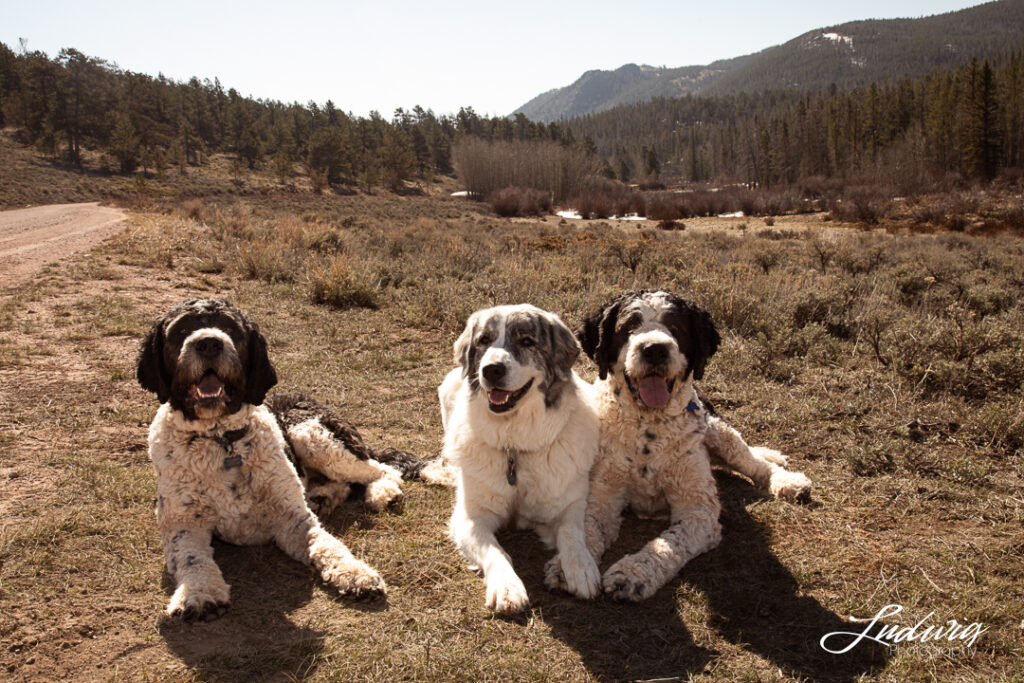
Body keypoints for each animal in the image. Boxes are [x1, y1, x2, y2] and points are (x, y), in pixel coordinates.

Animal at [138, 296, 417, 618]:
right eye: (182, 330)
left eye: (231, 329)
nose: (209, 343)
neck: (222, 441)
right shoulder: (183, 522)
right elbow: (191, 557)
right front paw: (198, 592)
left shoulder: (293, 519)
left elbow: (327, 544)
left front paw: (355, 572)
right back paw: (323, 497)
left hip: (314, 435)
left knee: (381, 469)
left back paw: (381, 493)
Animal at [438, 305, 598, 614]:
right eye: (484, 341)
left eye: (526, 341)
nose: (491, 369)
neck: (514, 445)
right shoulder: (471, 517)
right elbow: (495, 552)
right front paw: (506, 587)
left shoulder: (570, 505)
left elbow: (572, 534)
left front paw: (581, 568)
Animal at [577, 290, 806, 602]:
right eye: (629, 326)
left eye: (676, 326)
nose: (655, 349)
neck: (649, 429)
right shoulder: (602, 494)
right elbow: (588, 527)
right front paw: (571, 566)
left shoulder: (698, 509)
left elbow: (668, 543)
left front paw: (632, 574)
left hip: (717, 430)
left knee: (752, 461)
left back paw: (789, 482)